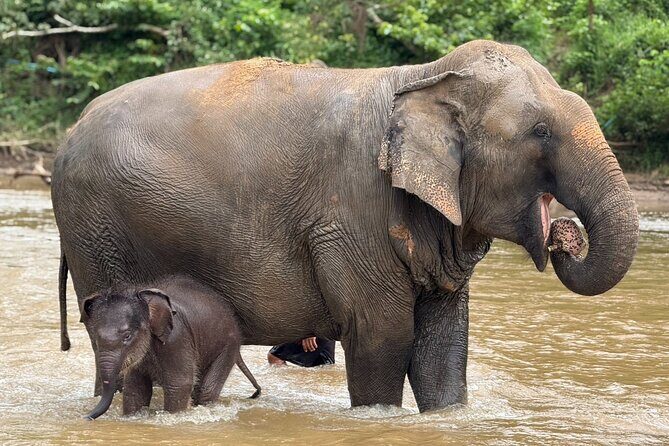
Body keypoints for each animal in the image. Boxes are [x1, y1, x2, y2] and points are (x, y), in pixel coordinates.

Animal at [82, 276, 261, 420]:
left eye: (127, 336)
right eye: (95, 337)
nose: (86, 418)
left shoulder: (177, 338)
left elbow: (179, 384)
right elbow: (136, 388)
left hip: (228, 345)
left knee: (207, 390)